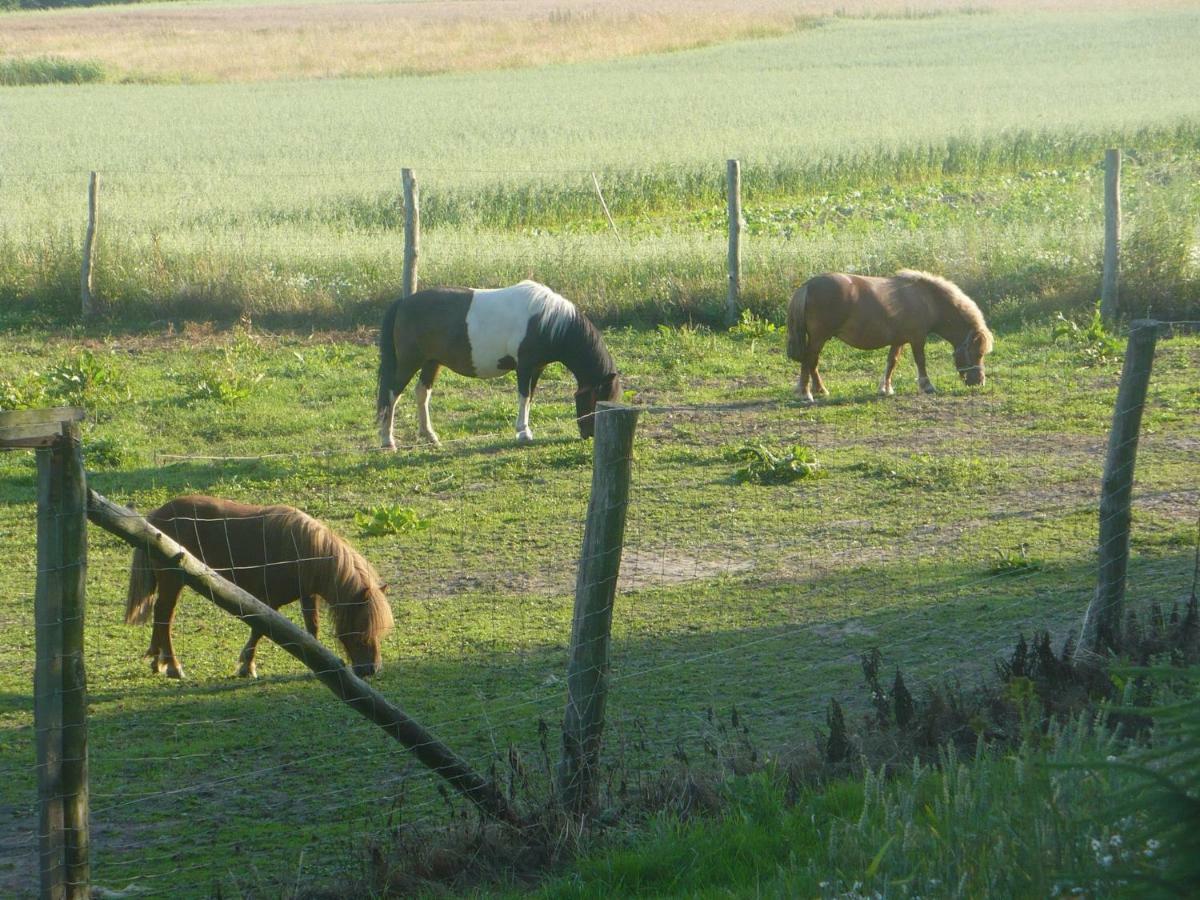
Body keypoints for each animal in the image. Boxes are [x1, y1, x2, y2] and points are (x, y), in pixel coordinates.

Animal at [125, 496, 393, 681]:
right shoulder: (267, 600)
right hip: (173, 581)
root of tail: (155, 518)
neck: (299, 550)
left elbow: (311, 627)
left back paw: (158, 662)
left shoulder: (307, 595)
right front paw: (247, 667)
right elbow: (259, 630)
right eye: (362, 627)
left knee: (161, 616)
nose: (371, 669)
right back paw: (173, 666)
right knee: (164, 616)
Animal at [376, 280, 624, 448]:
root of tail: (403, 302)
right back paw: (388, 440)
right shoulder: (524, 367)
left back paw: (429, 436)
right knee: (392, 395)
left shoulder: (537, 368)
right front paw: (523, 433)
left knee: (421, 393)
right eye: (599, 398)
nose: (591, 434)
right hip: (410, 361)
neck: (547, 320)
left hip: (431, 362)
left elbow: (530, 397)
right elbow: (524, 397)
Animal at [787, 270, 993, 403]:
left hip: (819, 338)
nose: (980, 382)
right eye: (977, 353)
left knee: (812, 362)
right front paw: (927, 386)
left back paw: (820, 390)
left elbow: (891, 362)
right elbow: (921, 361)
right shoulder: (917, 338)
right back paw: (806, 394)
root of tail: (807, 286)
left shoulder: (898, 341)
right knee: (809, 360)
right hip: (818, 338)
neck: (927, 299)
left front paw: (885, 389)